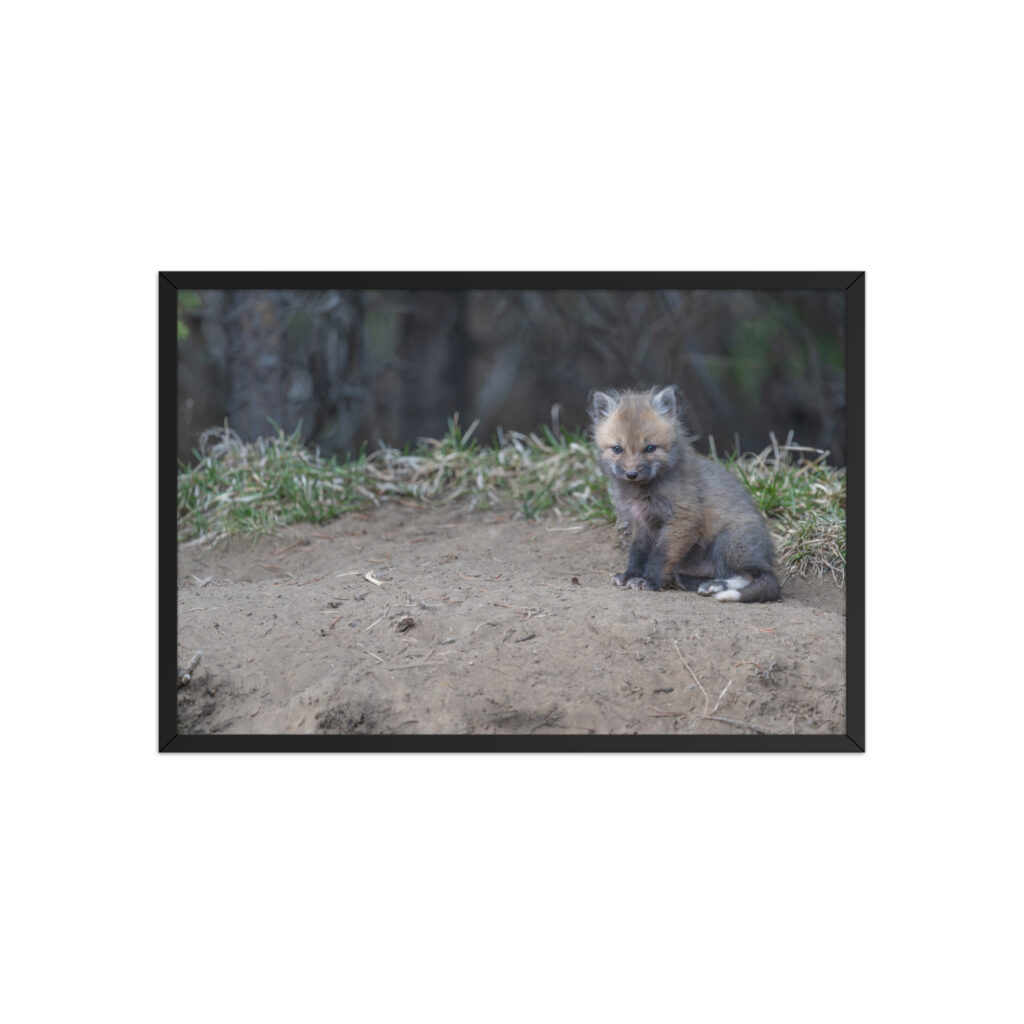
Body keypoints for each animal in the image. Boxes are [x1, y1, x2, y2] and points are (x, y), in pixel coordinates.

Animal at [587, 385, 781, 603]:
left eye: (650, 448)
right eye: (617, 449)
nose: (631, 474)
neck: (644, 492)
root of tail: (767, 561)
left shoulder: (683, 518)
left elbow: (660, 555)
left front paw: (648, 580)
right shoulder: (641, 523)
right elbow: (637, 553)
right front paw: (630, 575)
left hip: (729, 542)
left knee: (750, 576)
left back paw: (716, 585)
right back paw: (690, 581)